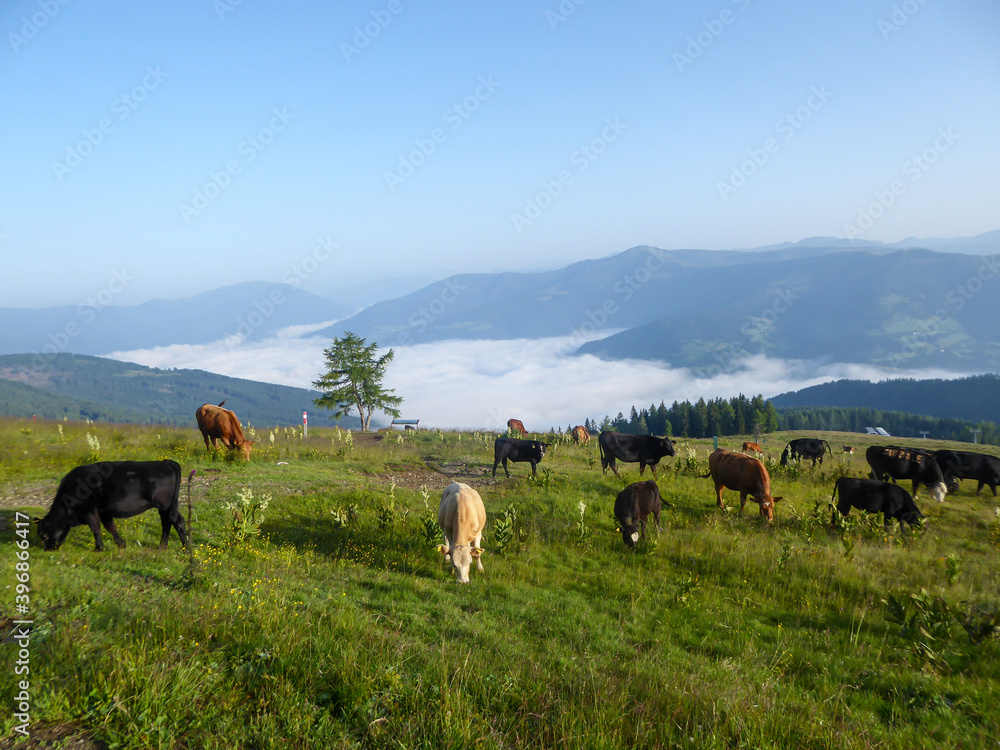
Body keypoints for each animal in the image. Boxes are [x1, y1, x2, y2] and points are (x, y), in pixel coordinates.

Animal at [35, 460, 187, 552]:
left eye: (44, 535)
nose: (48, 550)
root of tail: (165, 462)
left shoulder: (89, 511)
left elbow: (96, 528)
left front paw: (99, 548)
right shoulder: (105, 512)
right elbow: (110, 527)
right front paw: (121, 544)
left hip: (165, 505)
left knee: (173, 521)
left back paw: (182, 546)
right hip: (166, 507)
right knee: (172, 522)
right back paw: (167, 546)